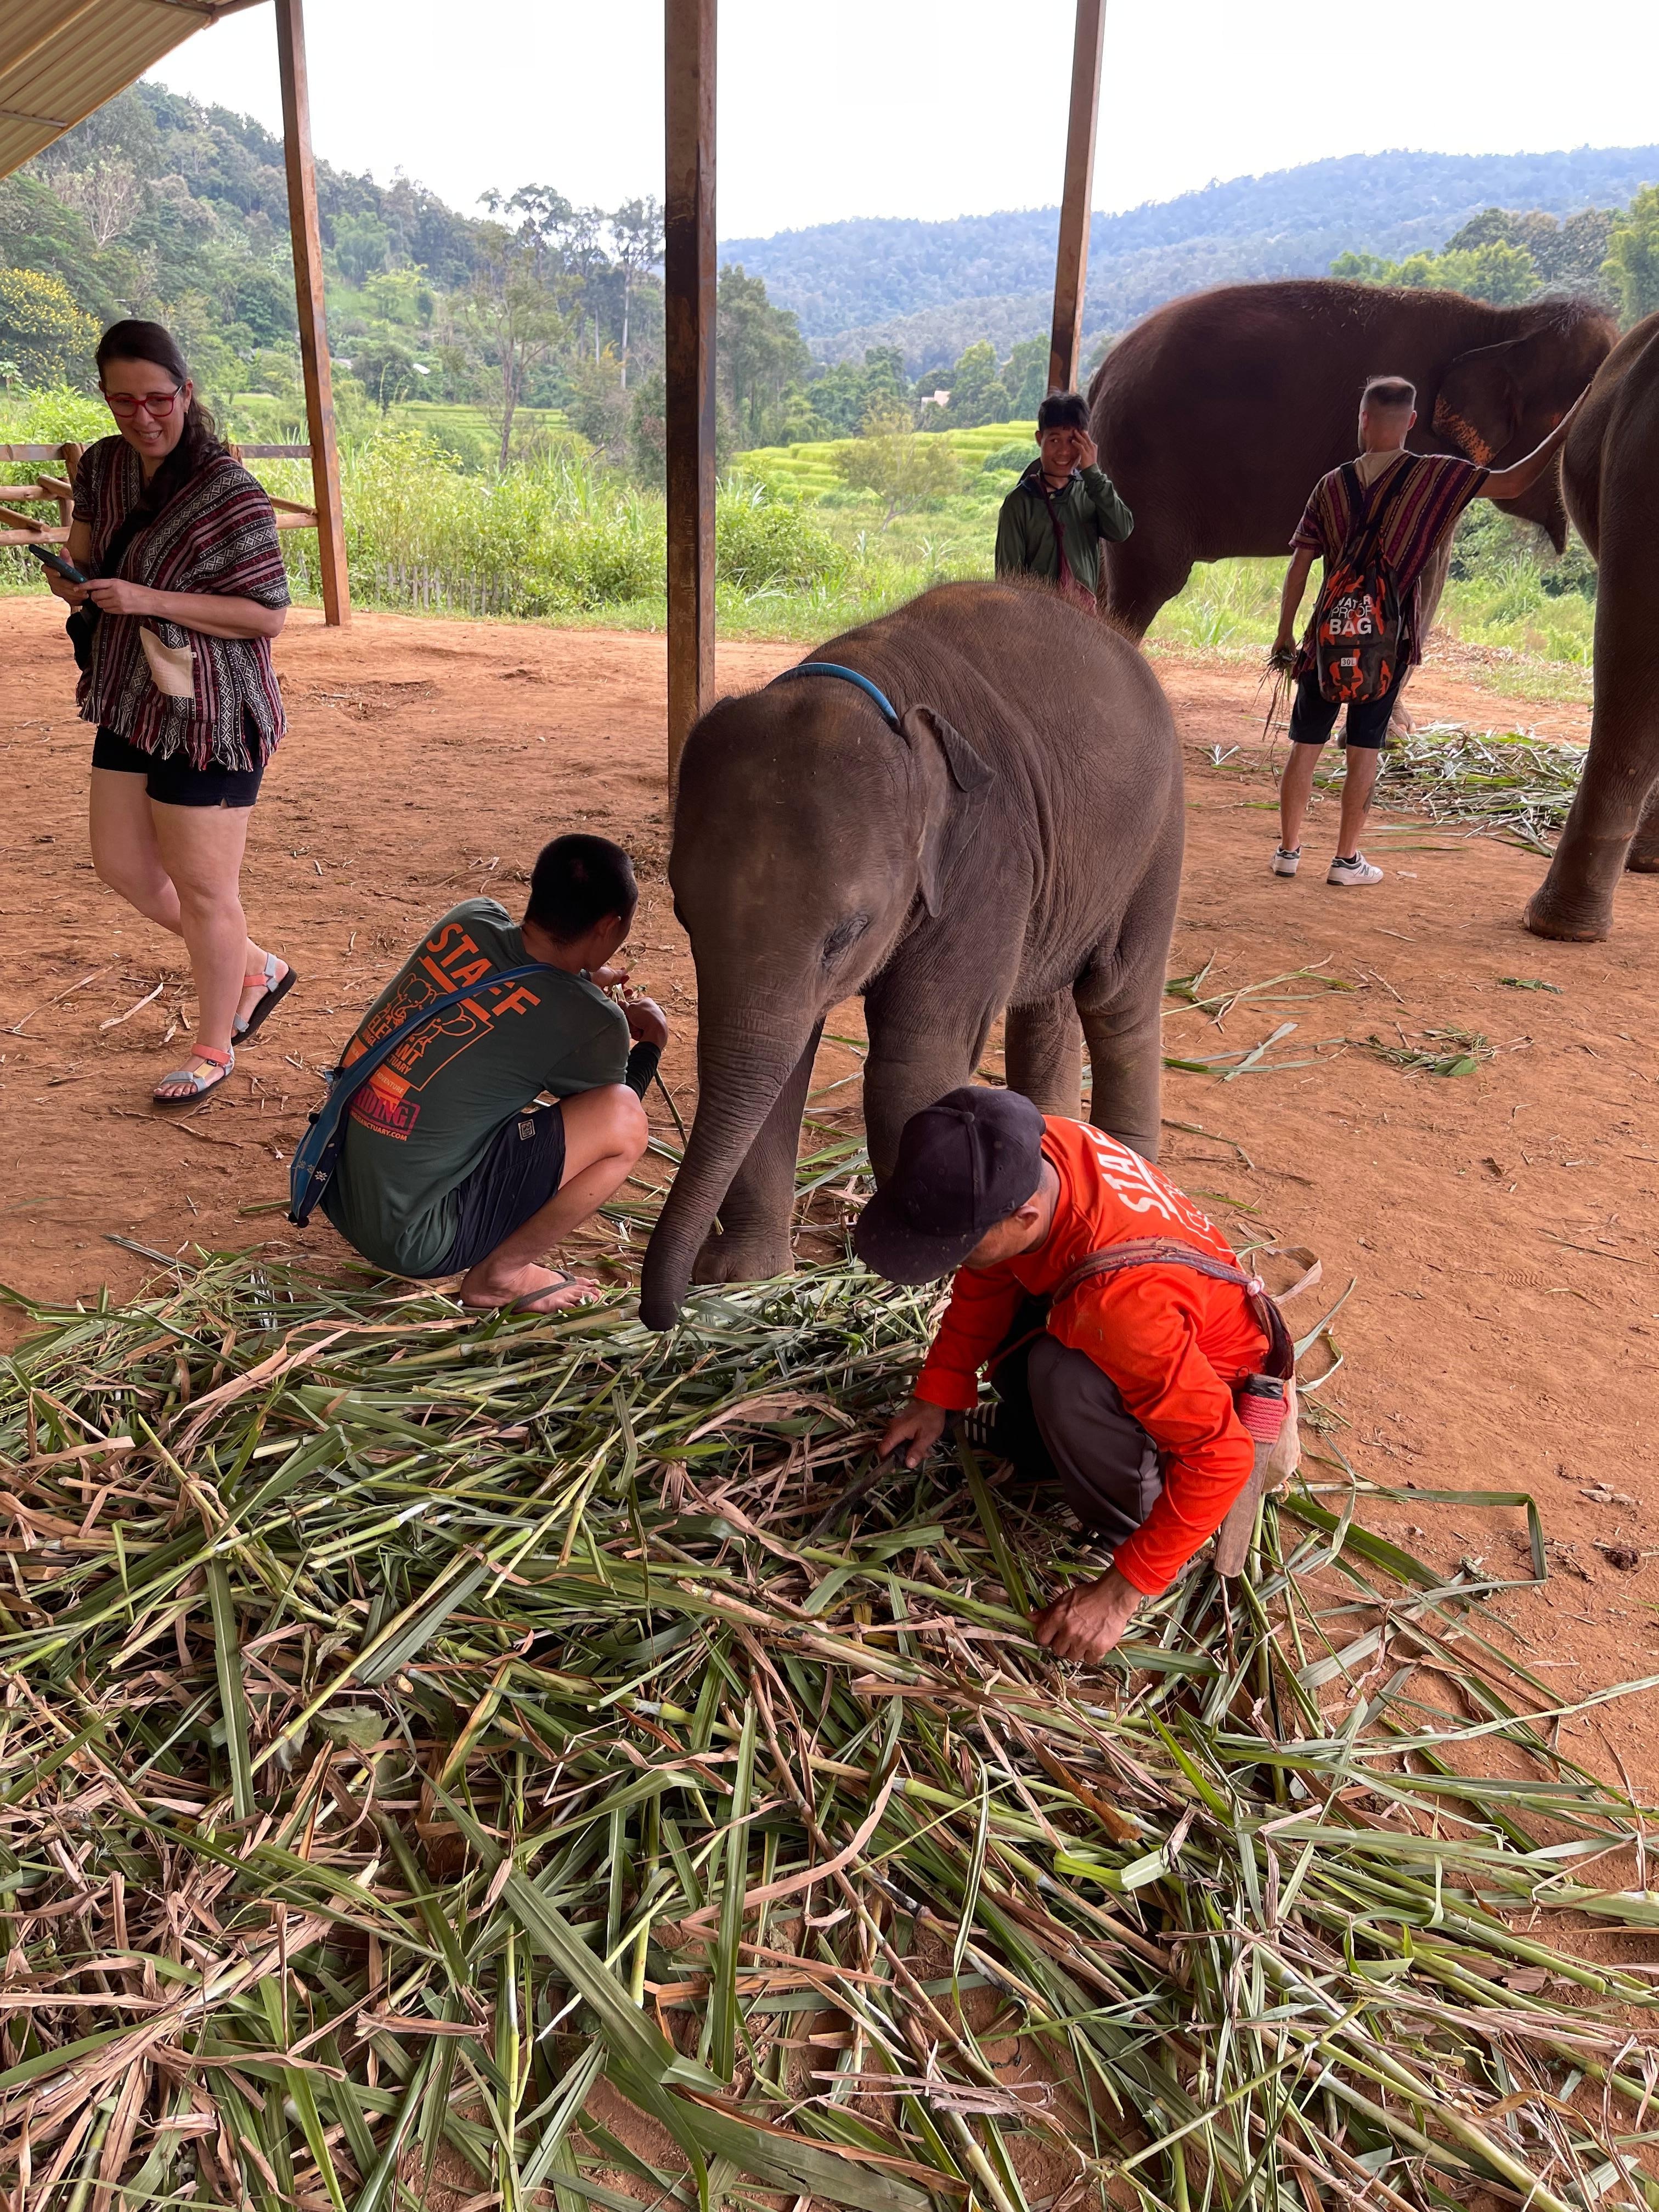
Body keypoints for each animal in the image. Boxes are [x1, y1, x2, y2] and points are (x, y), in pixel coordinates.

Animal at [639, 580, 1183, 1331]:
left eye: (847, 932)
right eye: (683, 914)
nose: (666, 1313)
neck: (874, 688)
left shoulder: (989, 858)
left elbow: (912, 1065)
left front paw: (909, 1279)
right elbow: (782, 1062)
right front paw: (745, 1278)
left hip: (1158, 838)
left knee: (1117, 999)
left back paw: (1129, 1174)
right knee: (1047, 1004)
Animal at [1088, 280, 1616, 640]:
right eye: (1571, 412)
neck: (1505, 323)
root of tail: (1102, 373)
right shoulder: (1420, 441)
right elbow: (1423, 564)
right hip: (1144, 463)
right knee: (1147, 582)